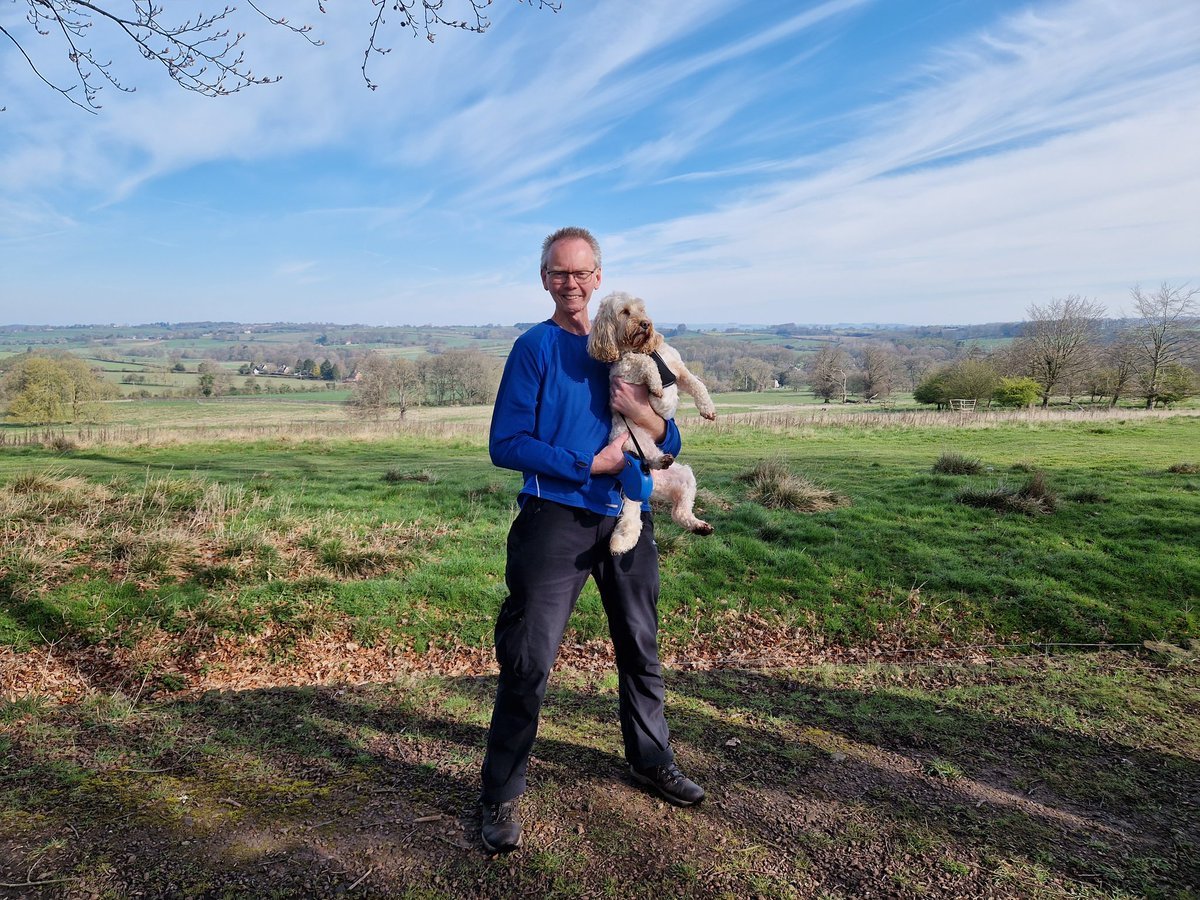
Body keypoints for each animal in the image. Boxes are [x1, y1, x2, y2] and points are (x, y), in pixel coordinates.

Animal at [588, 292, 715, 554]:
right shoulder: (626, 371)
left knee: (679, 512)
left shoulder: (679, 370)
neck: (641, 349)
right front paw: (657, 386)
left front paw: (708, 409)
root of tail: (649, 482)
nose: (646, 324)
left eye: (642, 309)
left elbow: (697, 384)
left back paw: (699, 526)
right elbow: (646, 365)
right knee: (650, 460)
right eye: (625, 311)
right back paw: (659, 460)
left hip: (685, 477)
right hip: (634, 444)